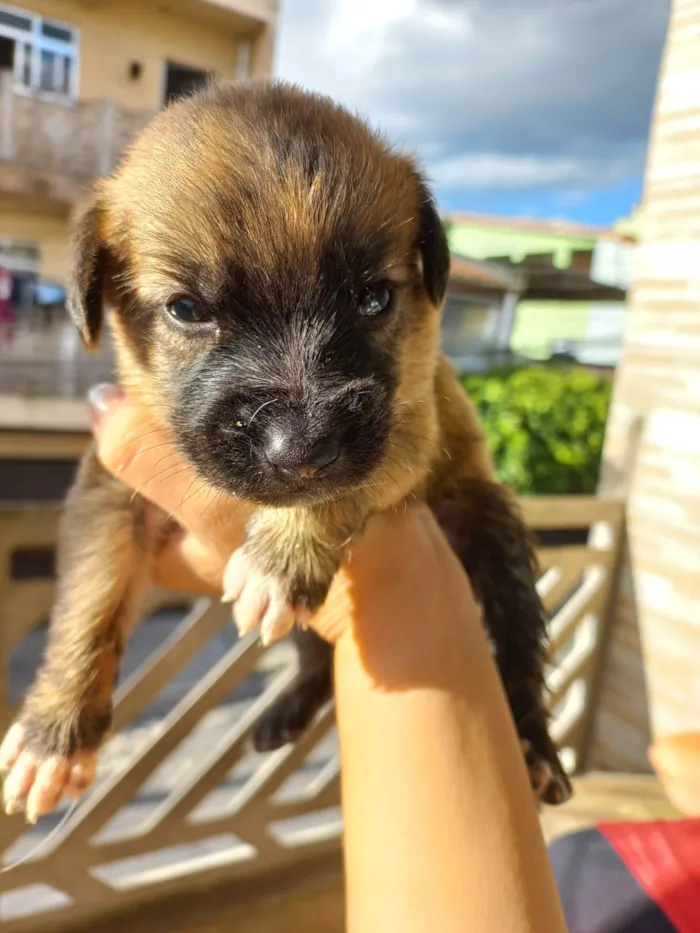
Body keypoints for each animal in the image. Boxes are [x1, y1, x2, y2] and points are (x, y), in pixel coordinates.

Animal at [0, 83, 568, 820]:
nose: (299, 446)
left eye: (373, 297)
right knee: (315, 658)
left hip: (490, 523)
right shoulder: (108, 489)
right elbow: (89, 602)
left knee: (520, 648)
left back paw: (536, 747)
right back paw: (289, 711)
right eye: (186, 309)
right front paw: (54, 733)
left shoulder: (406, 429)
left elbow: (334, 491)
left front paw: (281, 555)